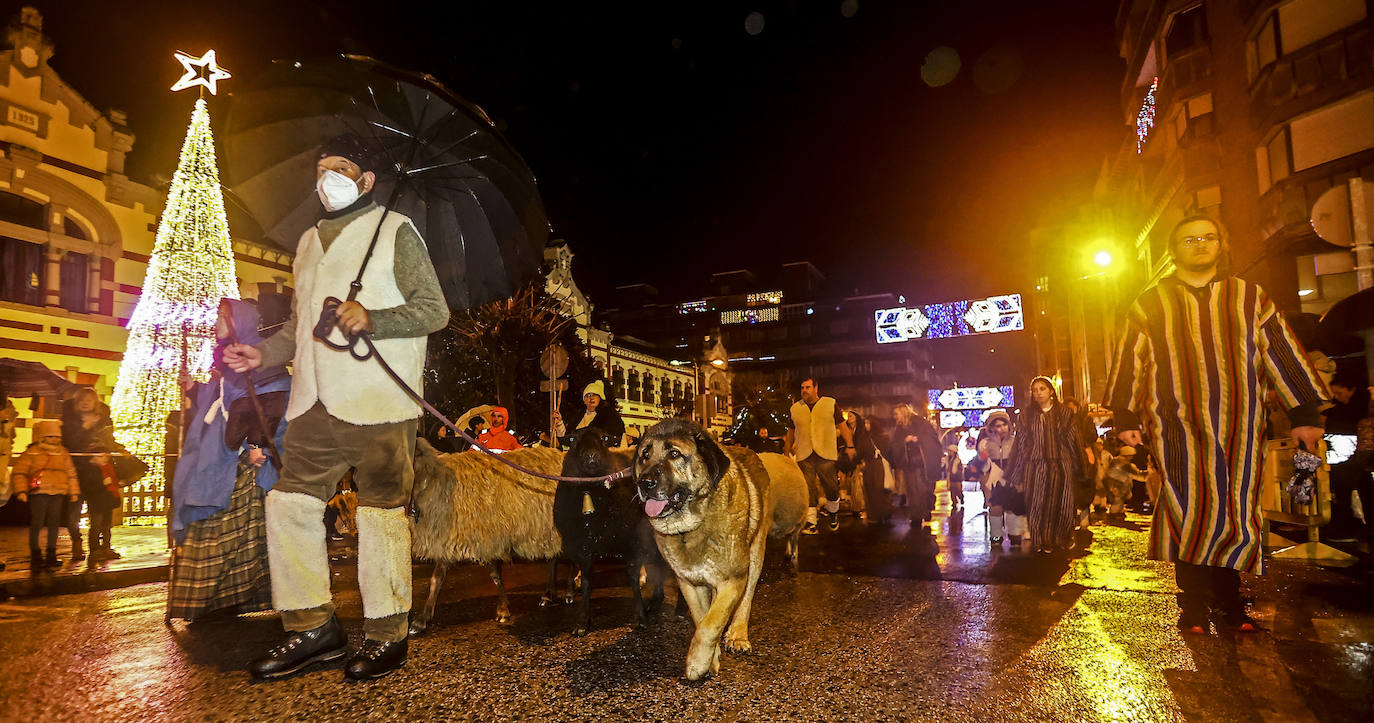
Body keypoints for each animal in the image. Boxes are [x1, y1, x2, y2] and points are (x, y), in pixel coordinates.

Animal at [406, 437, 563, 635]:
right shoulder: (448, 537)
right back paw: (549, 594)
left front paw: (503, 610)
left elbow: (494, 574)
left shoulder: (488, 536)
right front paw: (422, 619)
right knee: (554, 558)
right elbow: (436, 579)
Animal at [632, 420, 802, 687]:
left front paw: (697, 663)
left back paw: (738, 635)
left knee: (746, 598)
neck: (692, 526)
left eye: (674, 454)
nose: (644, 483)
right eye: (644, 455)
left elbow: (710, 624)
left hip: (754, 557)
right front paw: (710, 658)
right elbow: (702, 618)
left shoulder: (732, 580)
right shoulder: (689, 583)